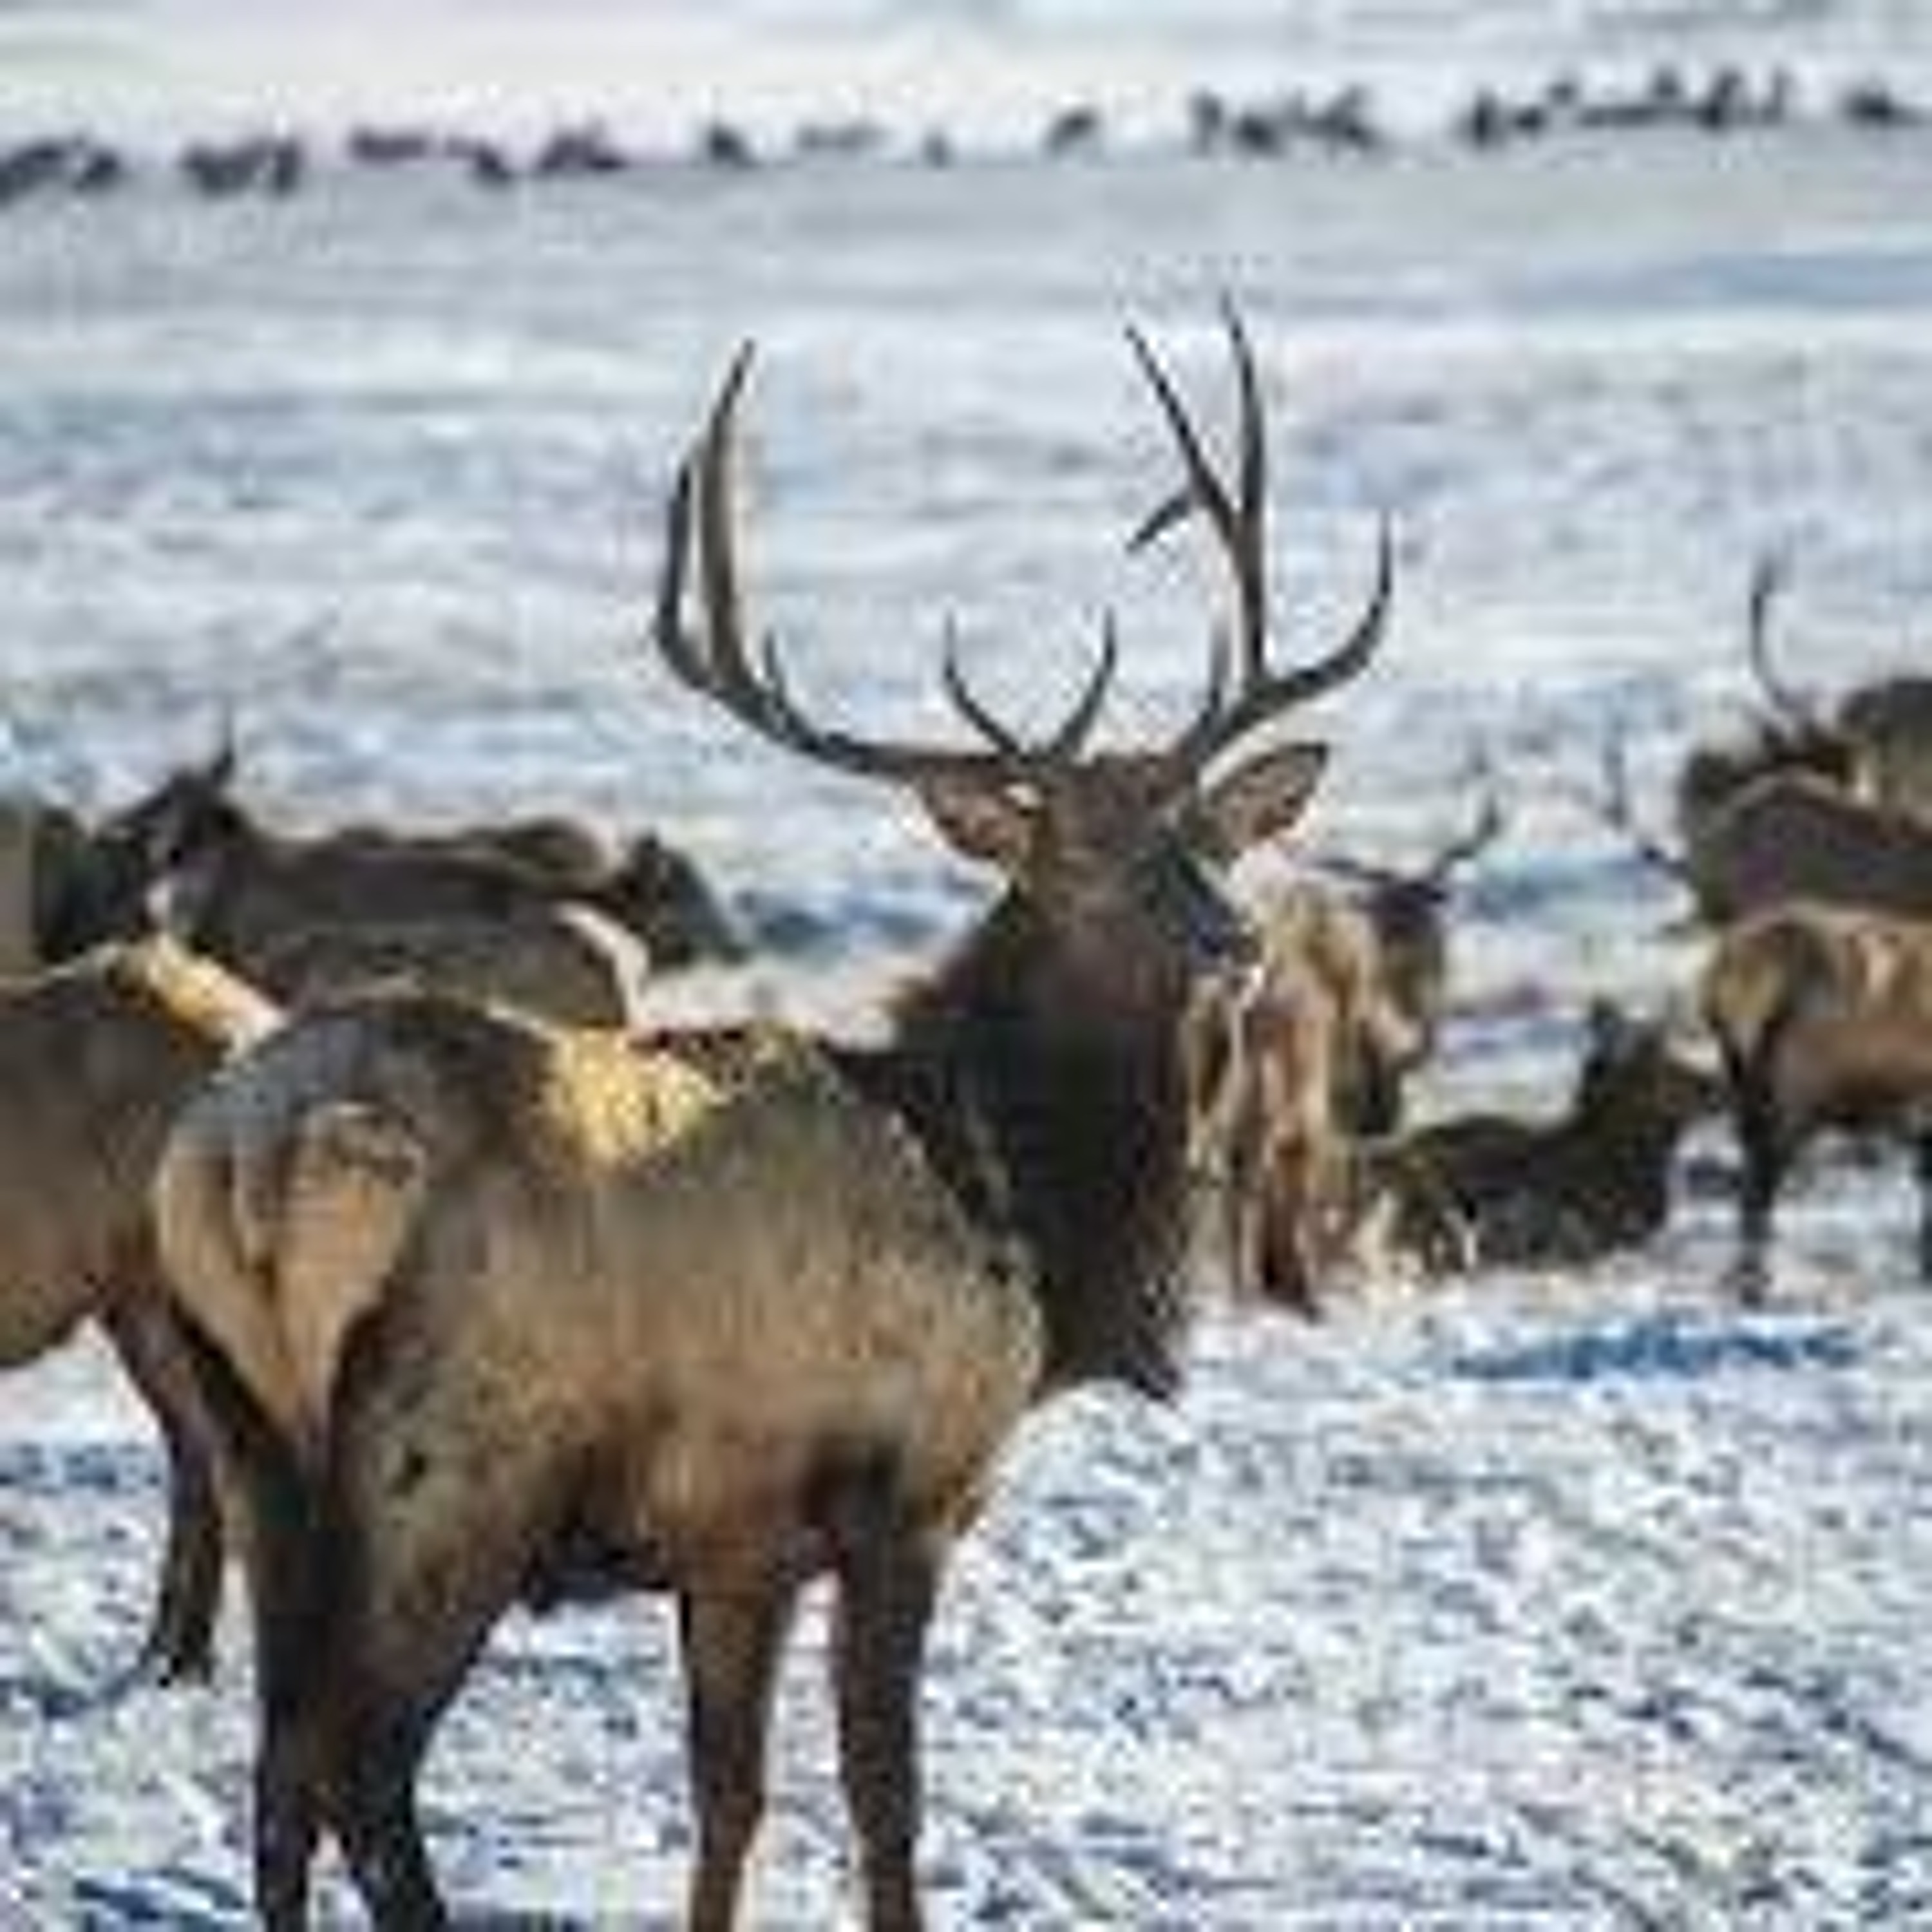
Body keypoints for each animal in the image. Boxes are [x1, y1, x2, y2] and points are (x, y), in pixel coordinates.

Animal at [149, 312, 1390, 1928]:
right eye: (1070, 859)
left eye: (1202, 839)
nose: (1232, 942)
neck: (1023, 1201)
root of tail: (246, 1153)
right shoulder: (898, 1482)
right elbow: (883, 1801)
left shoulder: (737, 1535)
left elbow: (728, 1799)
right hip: (451, 1457)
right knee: (360, 1765)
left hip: (255, 1439)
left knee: (280, 1766)